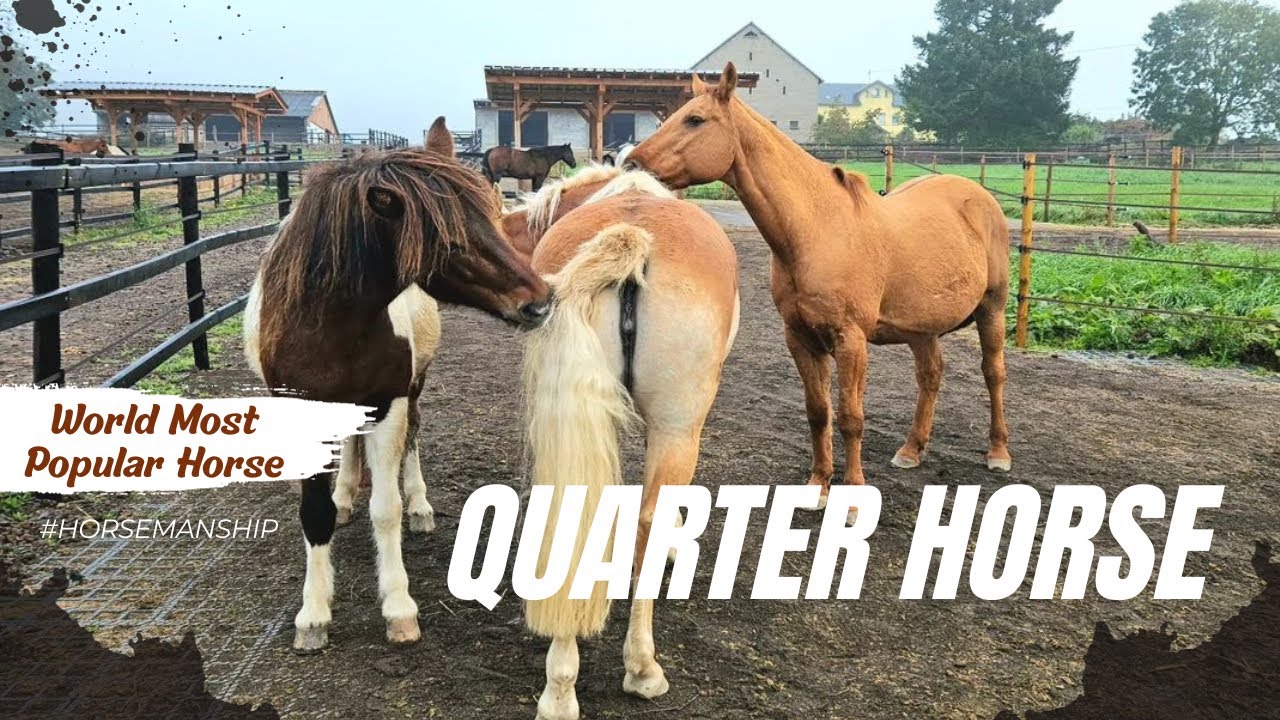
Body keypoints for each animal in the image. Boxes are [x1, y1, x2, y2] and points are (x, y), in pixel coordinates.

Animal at [243, 117, 551, 653]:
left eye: (494, 218)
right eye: (447, 240)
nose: (539, 300)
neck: (327, 325)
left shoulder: (387, 403)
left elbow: (386, 509)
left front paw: (398, 607)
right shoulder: (306, 415)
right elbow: (314, 515)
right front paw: (313, 615)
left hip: (412, 390)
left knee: (412, 440)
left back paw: (420, 504)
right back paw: (345, 495)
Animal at [627, 62, 1012, 515]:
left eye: (695, 120)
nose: (631, 163)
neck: (816, 229)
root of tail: (977, 195)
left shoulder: (851, 340)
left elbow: (850, 418)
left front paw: (854, 498)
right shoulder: (800, 338)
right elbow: (818, 412)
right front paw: (819, 486)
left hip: (992, 310)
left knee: (993, 373)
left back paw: (998, 453)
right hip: (922, 328)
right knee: (930, 375)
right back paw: (911, 450)